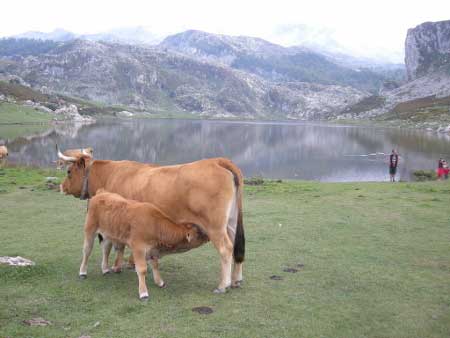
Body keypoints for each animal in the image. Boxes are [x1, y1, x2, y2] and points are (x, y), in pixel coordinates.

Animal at [79, 191, 209, 300]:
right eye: (198, 232)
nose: (208, 235)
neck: (155, 224)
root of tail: (100, 193)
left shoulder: (151, 249)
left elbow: (155, 265)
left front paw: (160, 282)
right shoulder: (138, 248)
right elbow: (142, 269)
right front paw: (143, 293)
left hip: (108, 235)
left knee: (106, 250)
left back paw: (105, 269)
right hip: (90, 230)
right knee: (87, 251)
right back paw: (83, 272)